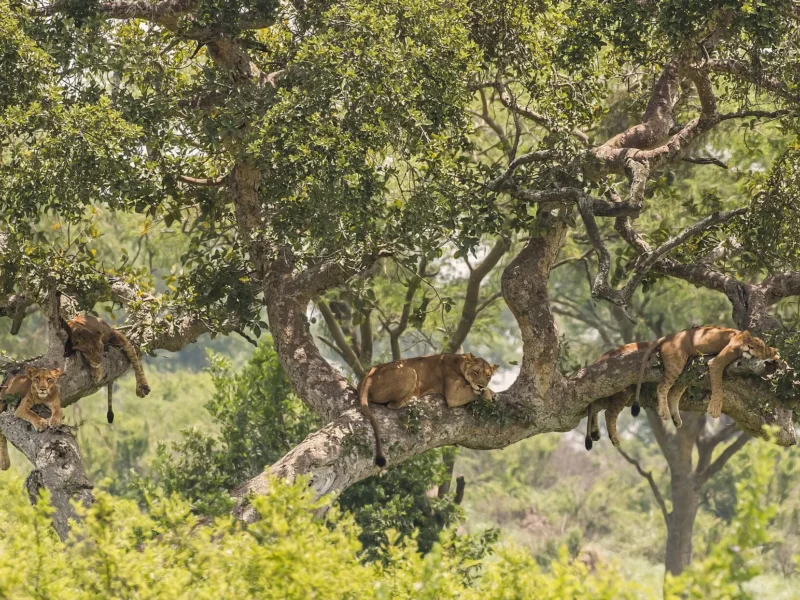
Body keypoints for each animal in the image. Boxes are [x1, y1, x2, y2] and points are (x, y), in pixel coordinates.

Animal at [358, 353, 498, 467]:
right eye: (476, 372)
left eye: (488, 376)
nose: (481, 385)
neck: (460, 363)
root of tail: (368, 376)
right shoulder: (453, 394)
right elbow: (473, 391)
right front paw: (487, 393)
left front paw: (492, 392)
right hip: (410, 371)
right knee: (392, 405)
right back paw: (413, 398)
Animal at [635, 326, 778, 427]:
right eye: (749, 341)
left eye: (760, 346)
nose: (750, 347)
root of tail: (669, 336)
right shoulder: (716, 362)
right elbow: (718, 386)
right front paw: (715, 408)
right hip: (676, 364)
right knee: (661, 387)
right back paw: (664, 412)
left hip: (685, 371)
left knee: (673, 394)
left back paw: (676, 419)